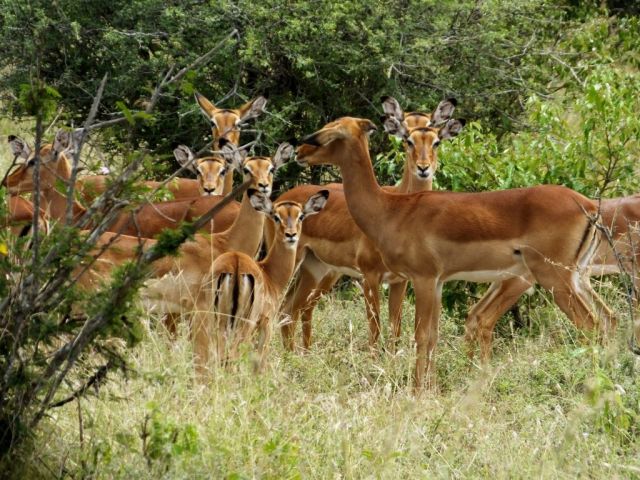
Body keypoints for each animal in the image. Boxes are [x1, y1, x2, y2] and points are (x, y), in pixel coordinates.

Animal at [195, 189, 330, 374]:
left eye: (301, 216)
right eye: (276, 216)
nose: (291, 235)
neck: (269, 274)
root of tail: (235, 264)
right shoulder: (266, 324)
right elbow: (260, 363)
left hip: (217, 319)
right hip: (243, 324)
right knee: (233, 355)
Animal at [273, 98, 463, 352]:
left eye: (435, 139)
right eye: (407, 137)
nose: (300, 150)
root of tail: (284, 198)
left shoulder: (399, 280)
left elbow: (394, 331)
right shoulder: (370, 277)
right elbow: (375, 332)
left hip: (317, 269)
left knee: (292, 309)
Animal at [296, 116, 612, 390]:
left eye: (333, 133)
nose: (300, 150)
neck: (392, 210)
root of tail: (587, 204)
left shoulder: (421, 279)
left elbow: (420, 335)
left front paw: (417, 391)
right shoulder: (436, 282)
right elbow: (433, 335)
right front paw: (432, 388)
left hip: (554, 278)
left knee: (591, 325)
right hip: (574, 278)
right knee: (606, 320)